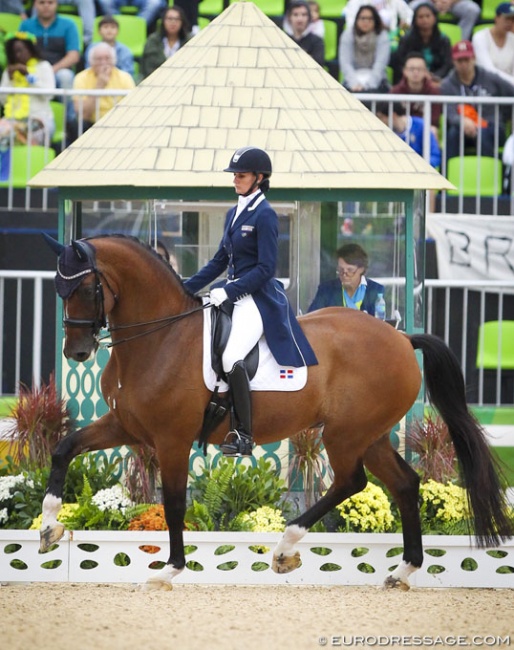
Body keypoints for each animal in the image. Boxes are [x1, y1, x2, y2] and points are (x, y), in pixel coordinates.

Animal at [41, 233, 512, 588]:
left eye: (86, 288)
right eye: (59, 290)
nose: (76, 352)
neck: (160, 337)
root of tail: (400, 337)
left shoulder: (171, 439)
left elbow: (173, 503)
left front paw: (169, 571)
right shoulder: (126, 426)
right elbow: (65, 448)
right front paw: (49, 528)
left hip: (344, 434)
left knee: (352, 481)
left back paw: (286, 549)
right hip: (370, 434)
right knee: (404, 484)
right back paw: (402, 570)